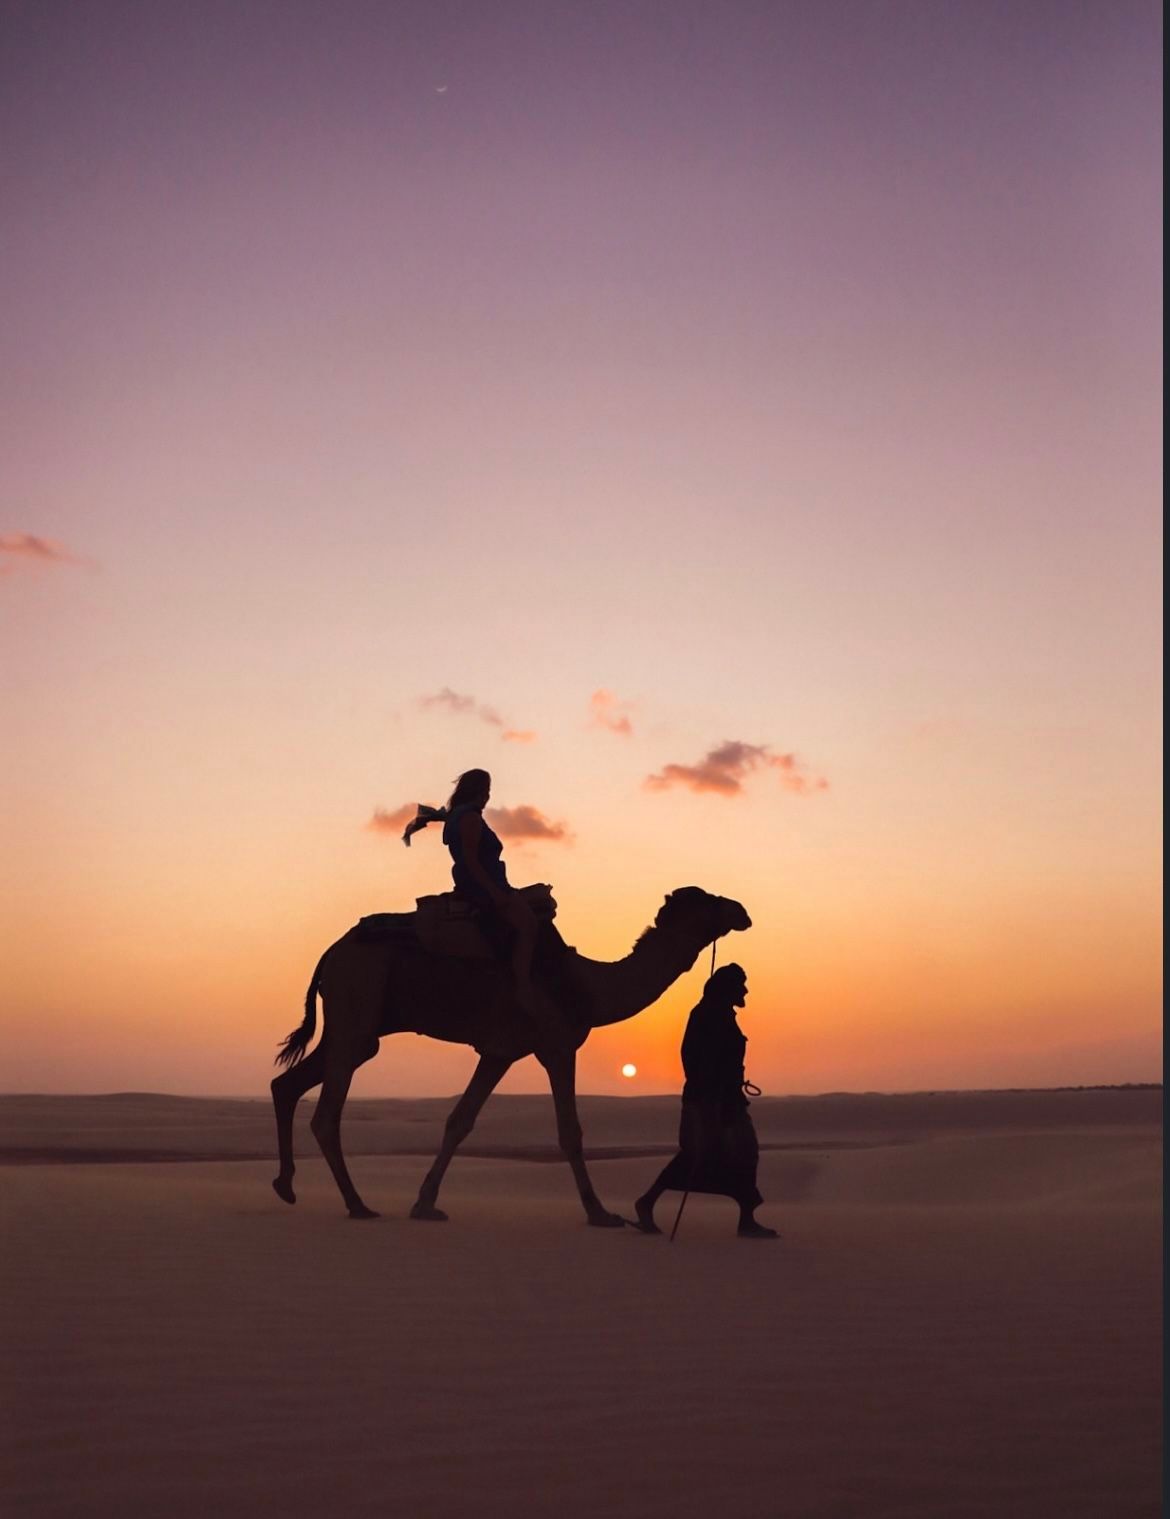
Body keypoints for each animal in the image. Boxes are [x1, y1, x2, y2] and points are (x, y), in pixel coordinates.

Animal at [270, 886, 751, 1224]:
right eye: (706, 900)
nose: (741, 910)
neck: (587, 986)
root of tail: (330, 954)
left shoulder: (500, 1051)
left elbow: (459, 1121)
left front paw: (425, 1204)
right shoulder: (557, 1045)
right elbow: (570, 1132)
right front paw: (600, 1213)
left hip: (354, 1028)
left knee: (286, 1084)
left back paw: (286, 1186)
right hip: (357, 1006)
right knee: (325, 1113)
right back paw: (357, 1204)